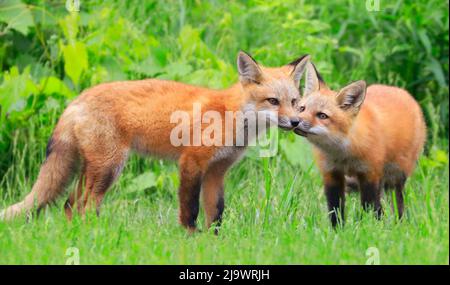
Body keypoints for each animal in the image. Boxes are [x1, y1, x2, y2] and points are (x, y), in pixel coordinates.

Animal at [0, 52, 310, 232]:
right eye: (273, 101)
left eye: (295, 102)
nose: (295, 122)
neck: (230, 116)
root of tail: (77, 99)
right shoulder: (191, 162)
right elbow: (190, 208)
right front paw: (190, 237)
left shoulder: (216, 171)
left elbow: (216, 212)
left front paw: (214, 241)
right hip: (109, 168)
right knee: (85, 206)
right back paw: (94, 236)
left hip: (93, 168)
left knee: (68, 204)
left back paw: (74, 235)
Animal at [296, 62, 426, 226]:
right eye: (302, 108)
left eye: (322, 116)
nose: (295, 121)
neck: (344, 153)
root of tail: (403, 92)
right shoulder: (331, 174)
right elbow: (335, 210)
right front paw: (337, 229)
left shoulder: (369, 174)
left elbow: (370, 207)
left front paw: (371, 227)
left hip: (396, 176)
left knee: (396, 204)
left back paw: (399, 224)